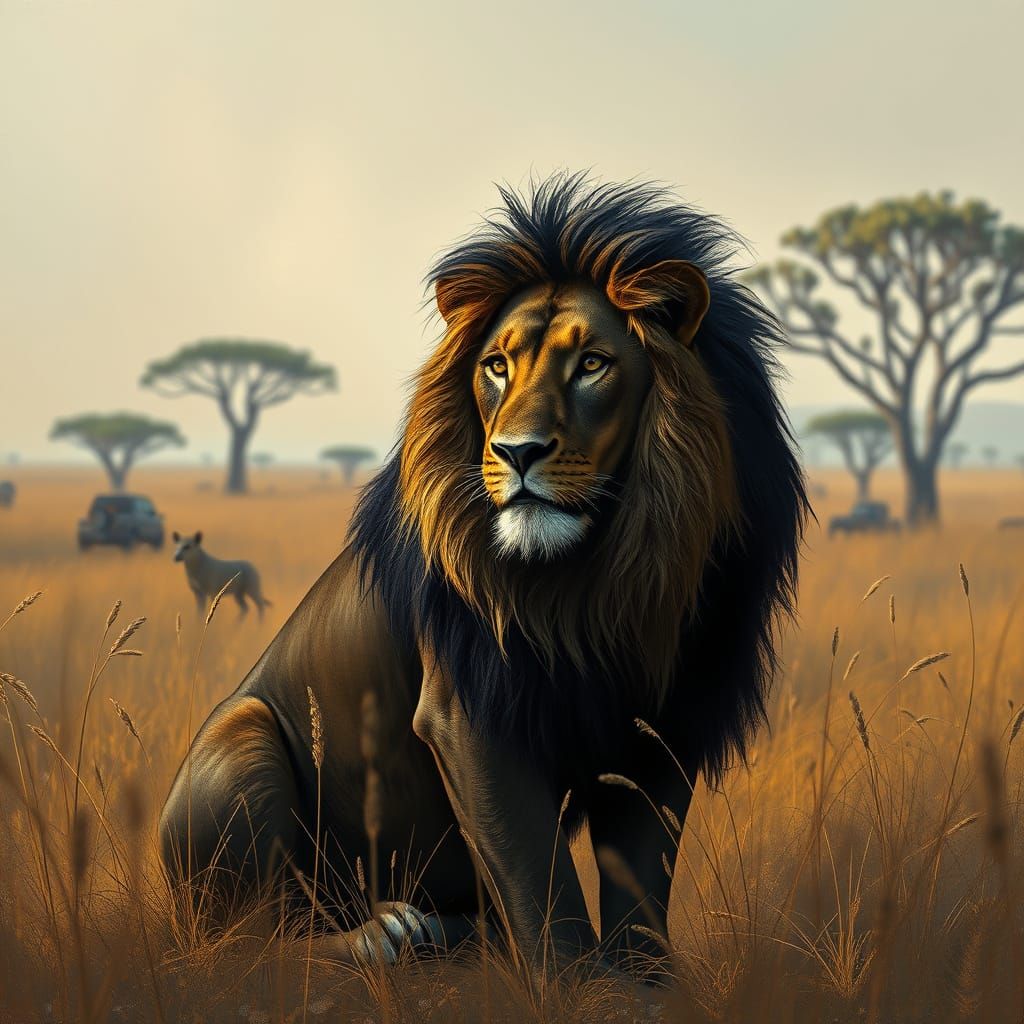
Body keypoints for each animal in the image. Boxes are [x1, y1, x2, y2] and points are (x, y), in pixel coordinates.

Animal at [159, 173, 807, 981]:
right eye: (497, 365)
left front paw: (646, 984)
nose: (516, 451)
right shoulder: (469, 713)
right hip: (241, 735)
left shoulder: (666, 723)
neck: (604, 577)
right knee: (239, 945)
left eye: (592, 364)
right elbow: (542, 885)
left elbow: (641, 881)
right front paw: (577, 987)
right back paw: (387, 934)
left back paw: (455, 933)